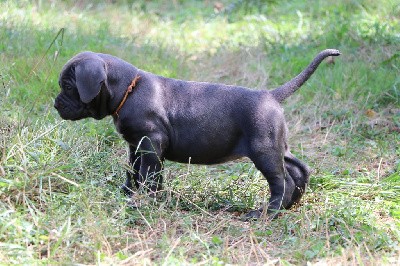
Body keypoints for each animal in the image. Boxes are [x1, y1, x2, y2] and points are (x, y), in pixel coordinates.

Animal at [54, 49, 340, 218]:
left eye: (68, 86)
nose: (56, 104)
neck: (129, 90)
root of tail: (271, 96)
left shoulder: (151, 143)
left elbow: (147, 174)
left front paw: (142, 200)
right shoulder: (136, 144)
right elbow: (133, 170)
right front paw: (128, 193)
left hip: (264, 151)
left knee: (282, 180)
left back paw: (267, 212)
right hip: (276, 145)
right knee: (299, 169)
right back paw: (292, 204)